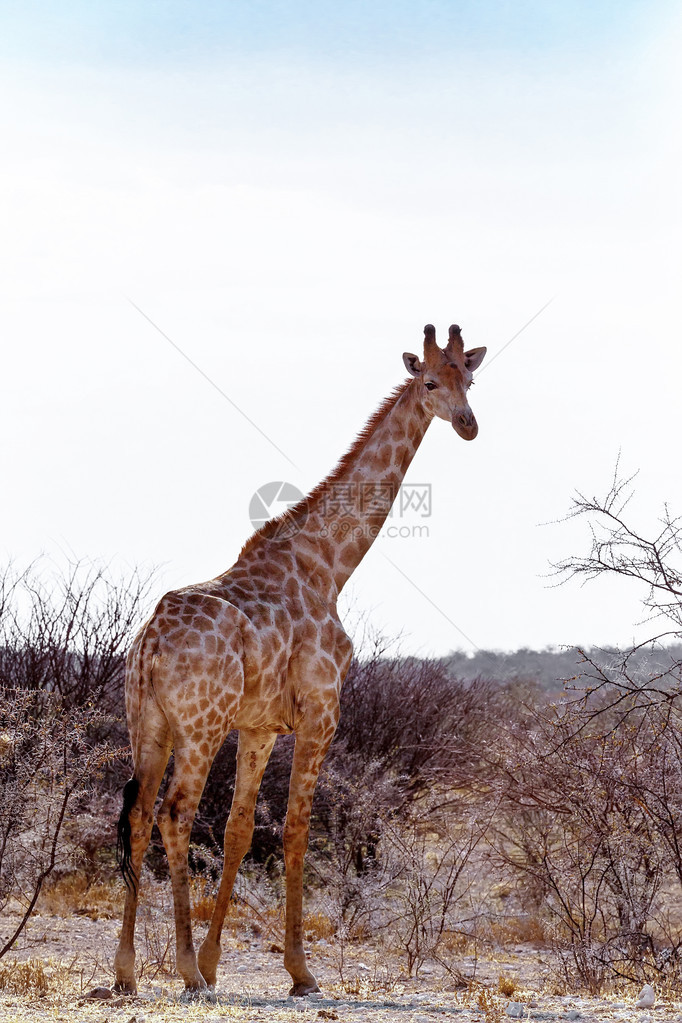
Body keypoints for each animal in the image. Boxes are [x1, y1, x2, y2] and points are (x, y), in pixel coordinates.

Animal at [113, 323, 484, 994]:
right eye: (428, 382)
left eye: (469, 377)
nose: (468, 424)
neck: (330, 564)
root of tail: (149, 642)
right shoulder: (320, 712)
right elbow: (296, 830)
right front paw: (299, 971)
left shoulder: (260, 726)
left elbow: (238, 830)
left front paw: (218, 959)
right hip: (200, 727)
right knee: (176, 815)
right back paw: (184, 970)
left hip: (148, 725)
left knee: (139, 816)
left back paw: (128, 970)